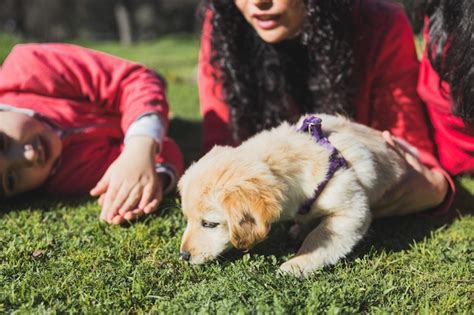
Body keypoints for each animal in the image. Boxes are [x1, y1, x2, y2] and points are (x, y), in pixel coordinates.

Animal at [178, 115, 408, 278]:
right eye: (188, 219)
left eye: (209, 223)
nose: (183, 256)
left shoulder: (352, 209)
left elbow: (319, 237)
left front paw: (297, 264)